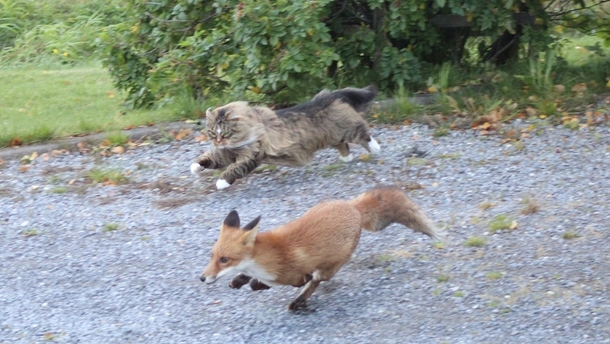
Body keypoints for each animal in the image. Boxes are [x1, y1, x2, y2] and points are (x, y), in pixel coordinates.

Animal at [191, 85, 380, 189]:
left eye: (226, 132)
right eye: (212, 132)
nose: (218, 141)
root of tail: (327, 96)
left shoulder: (251, 155)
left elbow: (234, 169)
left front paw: (221, 182)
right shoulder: (223, 154)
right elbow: (208, 158)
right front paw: (194, 167)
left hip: (347, 129)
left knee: (363, 132)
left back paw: (376, 148)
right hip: (333, 136)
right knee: (343, 145)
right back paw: (346, 158)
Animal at [197, 187, 440, 310]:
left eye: (225, 259)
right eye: (212, 256)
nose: (202, 278)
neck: (270, 257)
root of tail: (352, 207)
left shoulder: (296, 274)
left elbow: (297, 281)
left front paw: (256, 283)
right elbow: (250, 278)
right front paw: (241, 279)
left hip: (331, 266)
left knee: (316, 281)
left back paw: (299, 301)